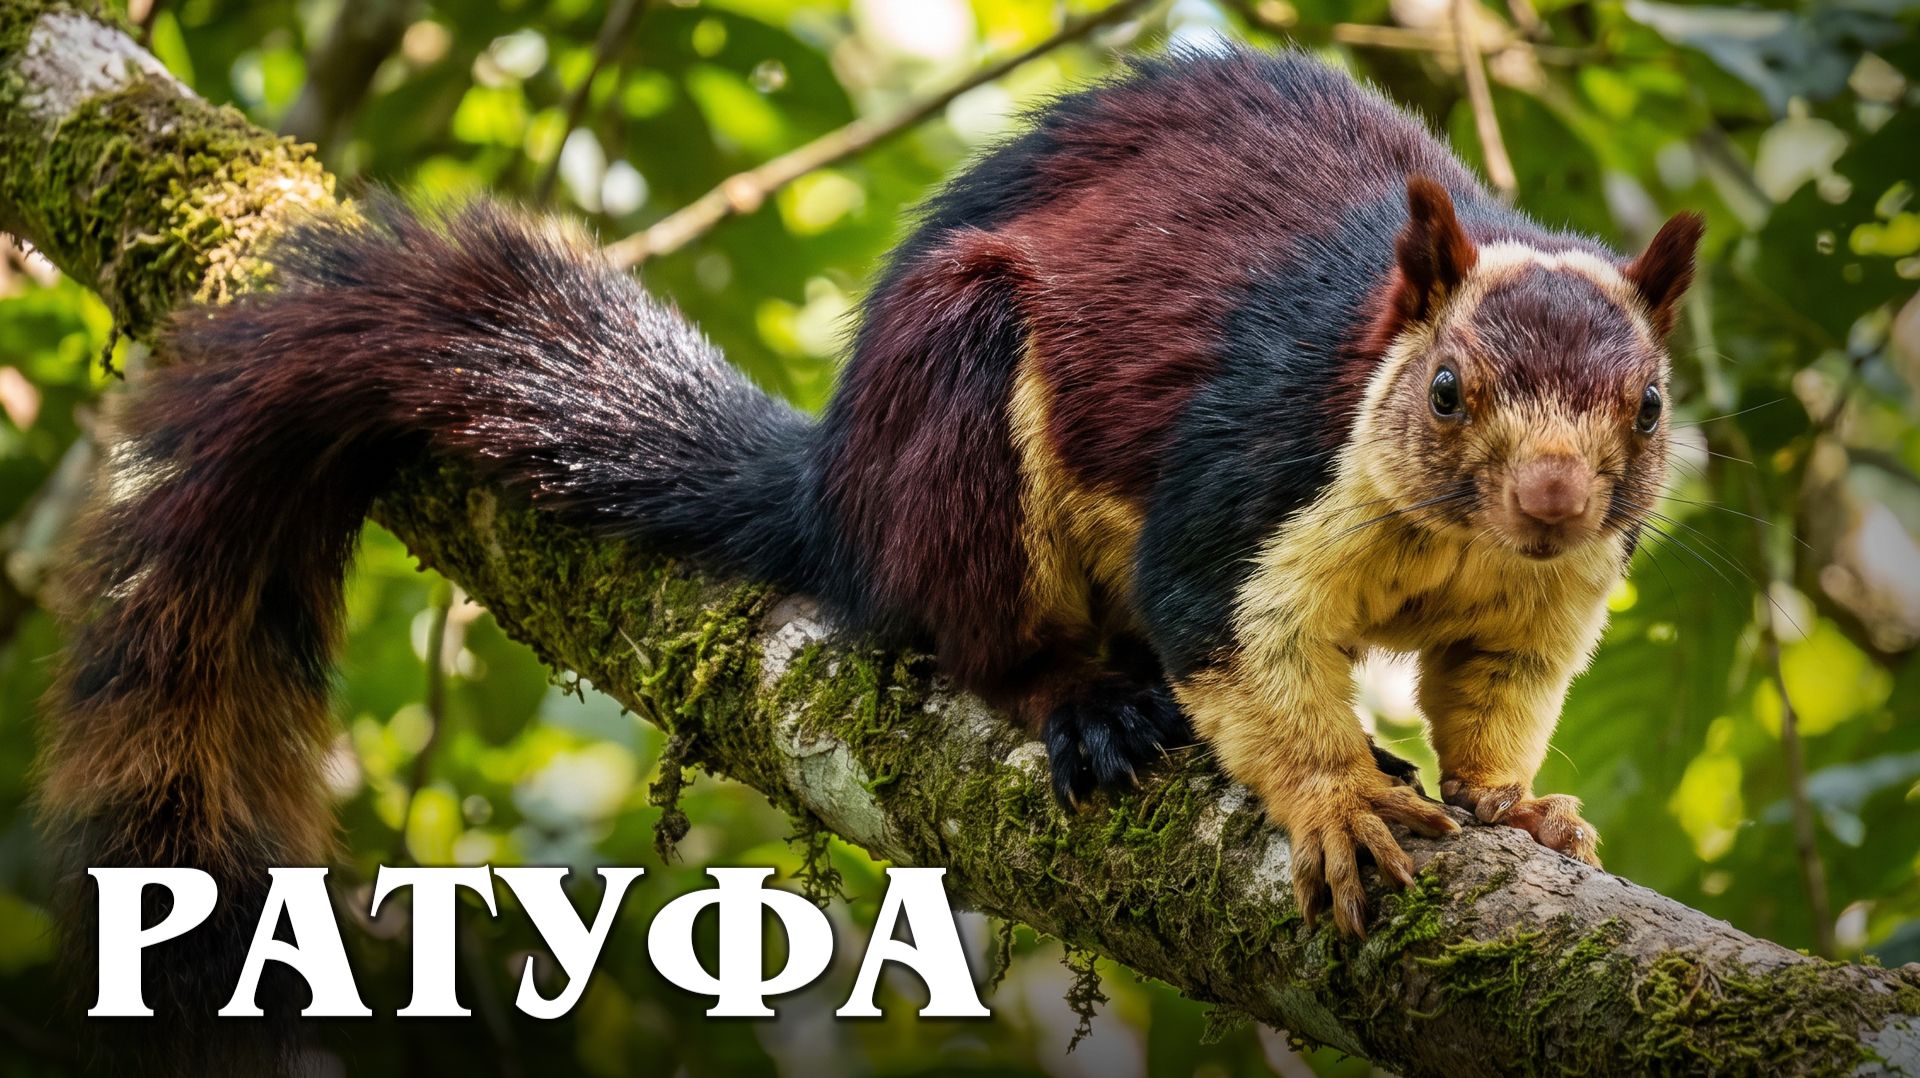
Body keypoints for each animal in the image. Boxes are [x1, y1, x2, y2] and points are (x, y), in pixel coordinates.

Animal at [41, 46, 1699, 1071]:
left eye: (1651, 404)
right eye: (1447, 390)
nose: (1556, 496)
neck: (1450, 532)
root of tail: (834, 495)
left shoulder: (1548, 602)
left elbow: (1497, 691)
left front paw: (1513, 804)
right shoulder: (1254, 473)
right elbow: (1229, 637)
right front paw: (1343, 800)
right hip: (957, 416)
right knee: (986, 633)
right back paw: (1080, 698)